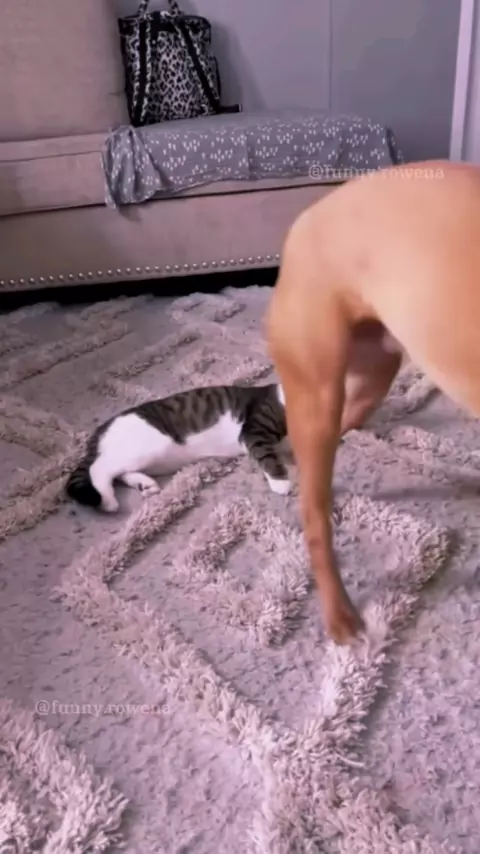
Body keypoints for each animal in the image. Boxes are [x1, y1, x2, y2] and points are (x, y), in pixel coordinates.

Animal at [65, 383, 291, 513]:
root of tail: (102, 428)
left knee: (119, 472)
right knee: (100, 467)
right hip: (147, 447)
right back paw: (108, 501)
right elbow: (267, 455)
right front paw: (281, 482)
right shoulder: (254, 430)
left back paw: (144, 484)